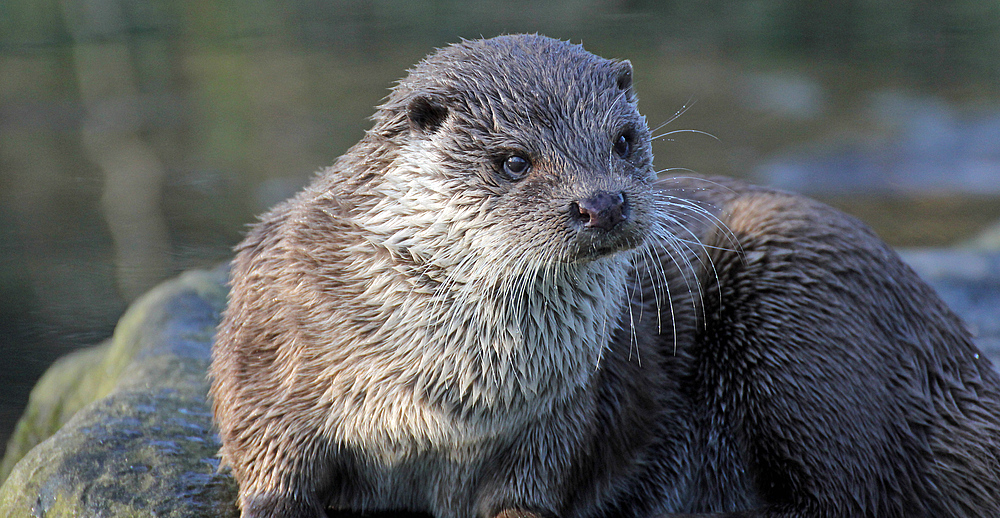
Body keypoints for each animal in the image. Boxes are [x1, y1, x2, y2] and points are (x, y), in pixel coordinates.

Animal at [209, 34, 1000, 516]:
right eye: (514, 161)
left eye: (623, 140)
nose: (603, 201)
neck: (447, 398)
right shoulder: (267, 357)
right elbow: (269, 470)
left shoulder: (557, 417)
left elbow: (527, 494)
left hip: (802, 306)